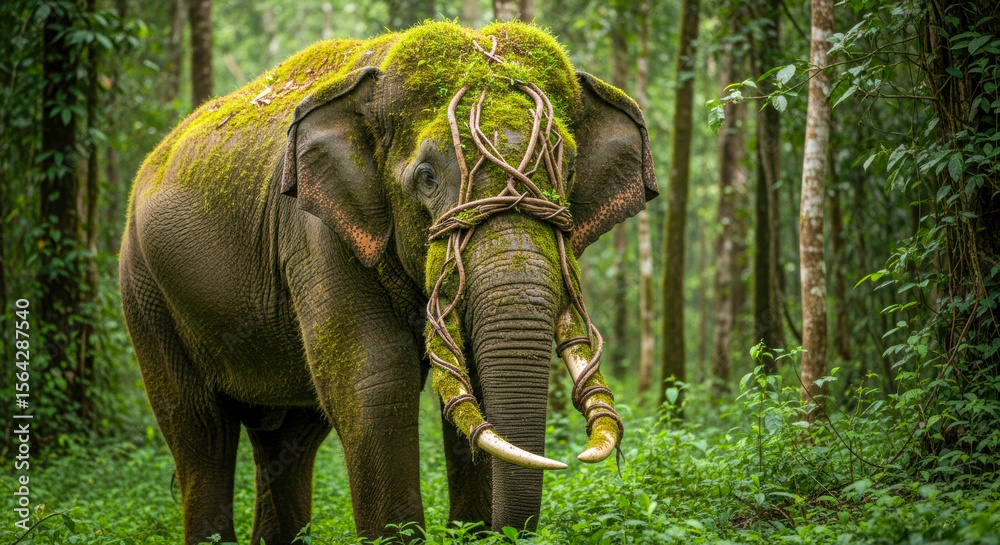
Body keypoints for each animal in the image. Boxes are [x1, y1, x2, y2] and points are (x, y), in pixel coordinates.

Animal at [119, 21, 656, 545]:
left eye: (568, 170)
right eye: (427, 177)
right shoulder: (317, 233)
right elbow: (374, 383)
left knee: (289, 436)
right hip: (145, 287)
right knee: (198, 426)